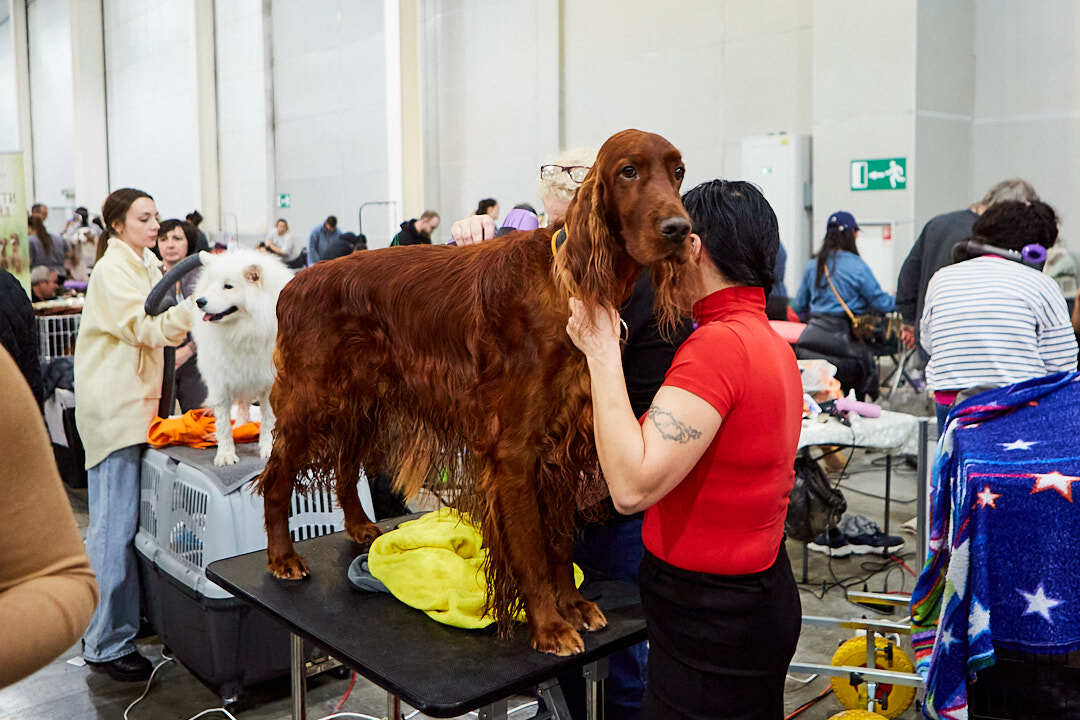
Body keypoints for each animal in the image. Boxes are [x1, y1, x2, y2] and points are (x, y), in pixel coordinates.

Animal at [189, 249, 291, 468]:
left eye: (228, 286)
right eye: (210, 284)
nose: (200, 301)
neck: (243, 331)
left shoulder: (269, 383)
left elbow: (268, 420)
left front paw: (269, 449)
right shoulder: (221, 383)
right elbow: (223, 425)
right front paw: (225, 455)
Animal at [255, 127, 691, 651]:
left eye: (678, 171)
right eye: (628, 171)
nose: (679, 229)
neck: (565, 282)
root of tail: (291, 283)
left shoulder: (560, 446)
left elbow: (559, 543)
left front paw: (573, 605)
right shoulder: (514, 452)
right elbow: (531, 551)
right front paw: (549, 626)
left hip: (364, 399)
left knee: (344, 463)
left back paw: (359, 525)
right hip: (311, 400)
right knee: (276, 479)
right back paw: (282, 557)